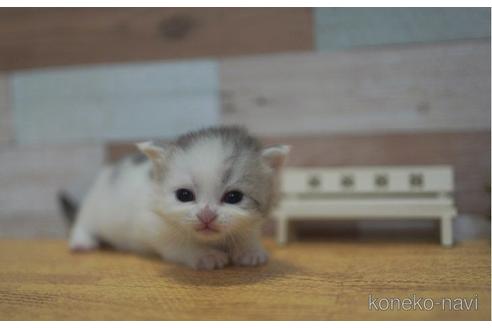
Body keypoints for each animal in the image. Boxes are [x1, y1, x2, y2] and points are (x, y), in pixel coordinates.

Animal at [65, 125, 288, 270]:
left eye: (234, 197)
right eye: (184, 195)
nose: (206, 215)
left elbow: (246, 234)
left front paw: (249, 250)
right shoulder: (154, 229)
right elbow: (179, 245)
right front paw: (205, 255)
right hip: (95, 207)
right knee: (83, 222)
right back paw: (82, 241)